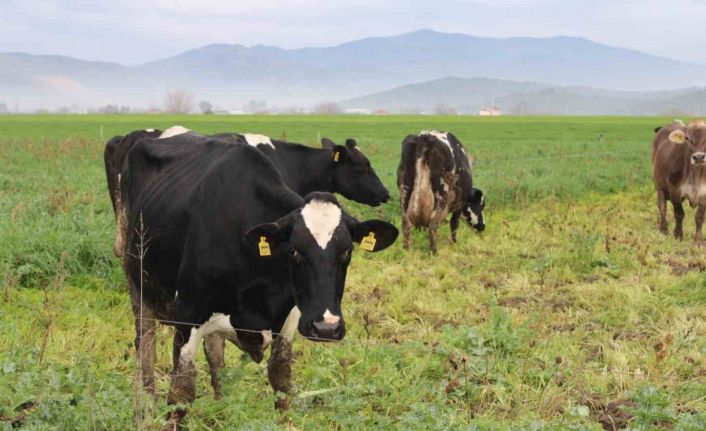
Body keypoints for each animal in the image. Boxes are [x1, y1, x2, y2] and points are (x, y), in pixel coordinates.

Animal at [118, 135, 398, 422]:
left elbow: (281, 380)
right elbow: (180, 394)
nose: (326, 328)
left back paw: (222, 405)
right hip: (136, 280)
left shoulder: (290, 316)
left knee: (214, 351)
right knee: (145, 346)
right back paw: (145, 407)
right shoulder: (188, 315)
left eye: (347, 252)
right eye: (294, 251)